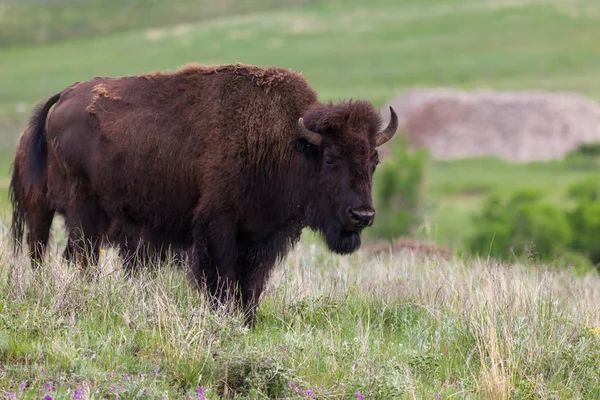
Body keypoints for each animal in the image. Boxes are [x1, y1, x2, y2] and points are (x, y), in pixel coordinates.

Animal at [9, 63, 396, 324]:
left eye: (374, 160)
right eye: (330, 158)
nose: (362, 216)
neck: (288, 143)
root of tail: (64, 96)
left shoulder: (262, 236)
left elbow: (251, 283)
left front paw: (246, 321)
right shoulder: (218, 225)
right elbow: (221, 277)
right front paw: (222, 316)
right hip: (79, 211)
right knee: (75, 256)